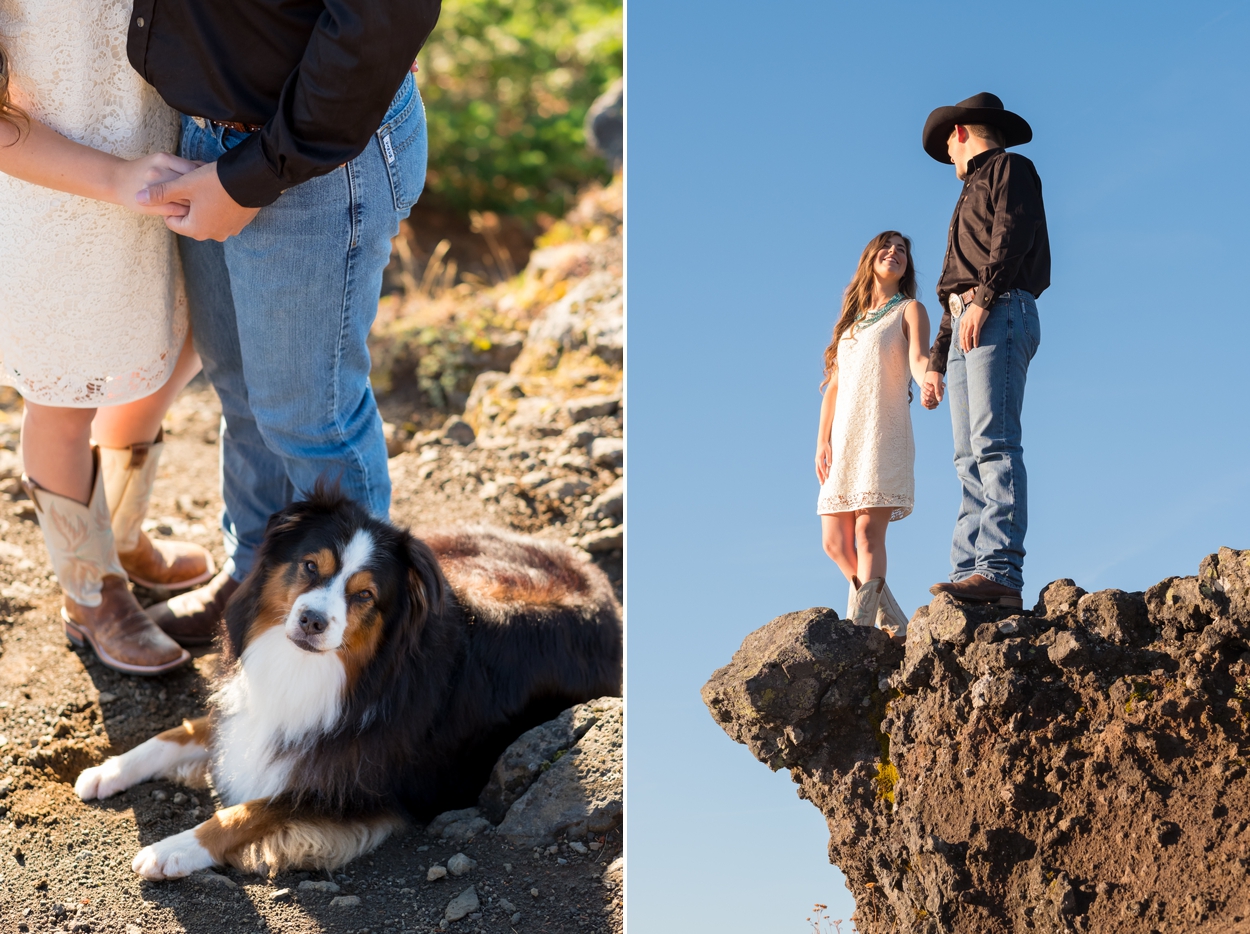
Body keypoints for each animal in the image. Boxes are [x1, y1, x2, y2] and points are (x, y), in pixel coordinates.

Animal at [73, 492, 620, 880]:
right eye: (310, 565)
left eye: (364, 596)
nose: (313, 621)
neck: (323, 671)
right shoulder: (260, 712)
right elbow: (177, 732)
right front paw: (108, 770)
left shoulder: (360, 791)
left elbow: (253, 811)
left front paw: (172, 850)